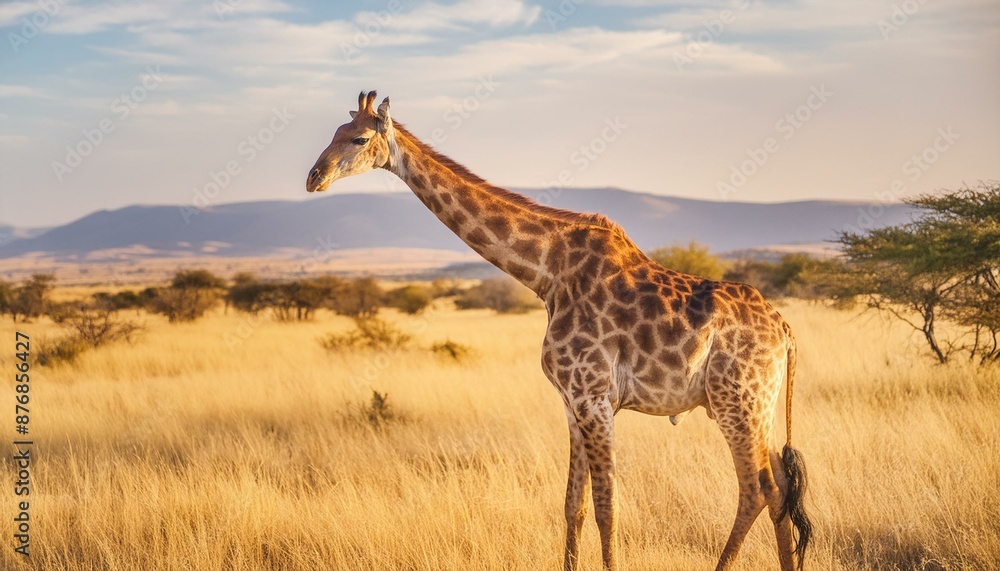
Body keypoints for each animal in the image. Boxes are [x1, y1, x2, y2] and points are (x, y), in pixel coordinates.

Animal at [306, 91, 813, 571]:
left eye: (358, 138)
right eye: (334, 131)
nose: (314, 177)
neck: (547, 273)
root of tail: (786, 330)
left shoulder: (595, 396)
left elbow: (607, 508)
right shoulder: (572, 402)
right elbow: (574, 506)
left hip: (735, 400)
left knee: (757, 489)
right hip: (759, 404)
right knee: (781, 487)